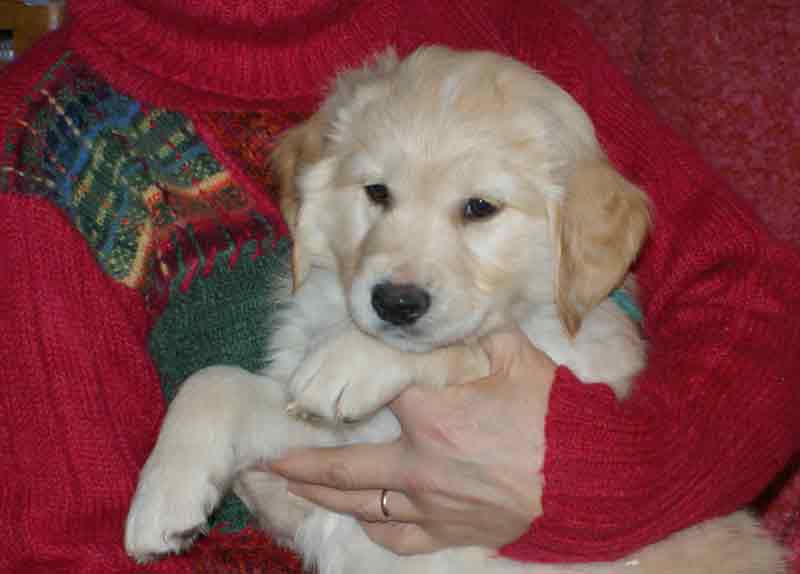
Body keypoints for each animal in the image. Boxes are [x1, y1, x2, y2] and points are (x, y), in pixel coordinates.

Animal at [125, 46, 785, 574]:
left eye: (480, 208)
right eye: (376, 192)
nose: (395, 303)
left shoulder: (572, 369)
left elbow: (466, 347)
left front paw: (354, 359)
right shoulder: (339, 445)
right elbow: (214, 381)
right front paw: (163, 497)